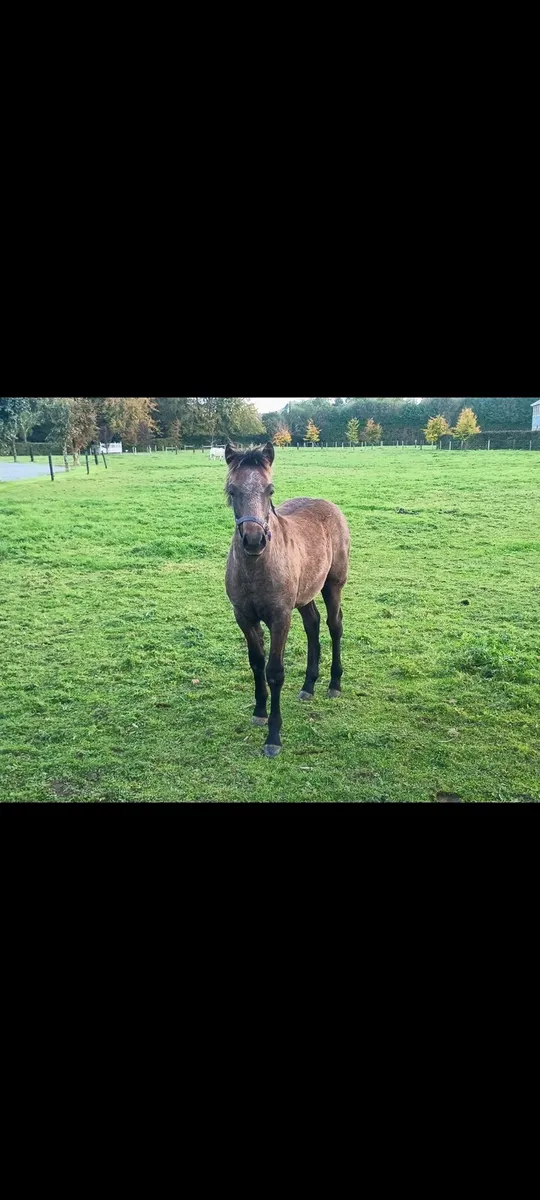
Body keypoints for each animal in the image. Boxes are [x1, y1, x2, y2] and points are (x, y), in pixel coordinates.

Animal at [225, 442, 350, 757]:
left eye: (270, 490)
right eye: (231, 490)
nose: (254, 540)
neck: (256, 568)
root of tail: (328, 505)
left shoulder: (280, 617)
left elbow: (275, 672)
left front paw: (273, 737)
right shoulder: (243, 616)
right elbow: (256, 662)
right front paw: (259, 711)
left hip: (333, 585)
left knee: (334, 625)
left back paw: (334, 683)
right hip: (305, 595)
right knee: (312, 624)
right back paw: (309, 685)